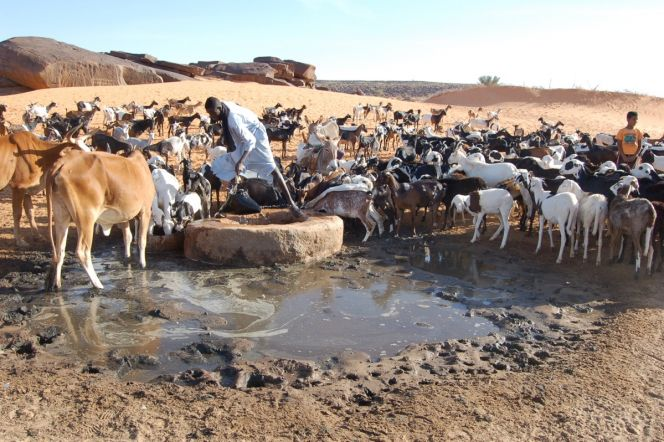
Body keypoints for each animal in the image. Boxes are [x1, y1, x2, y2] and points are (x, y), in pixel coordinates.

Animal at [45, 150, 154, 292]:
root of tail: (62, 163)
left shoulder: (123, 215)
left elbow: (128, 237)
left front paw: (127, 256)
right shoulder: (146, 210)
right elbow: (142, 240)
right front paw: (143, 264)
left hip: (61, 215)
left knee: (60, 250)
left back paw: (56, 284)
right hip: (86, 218)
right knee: (82, 251)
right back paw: (97, 284)